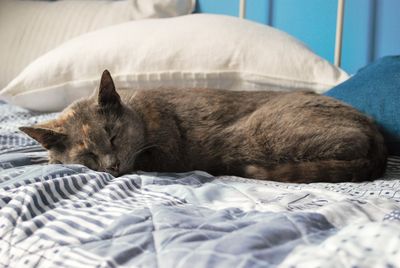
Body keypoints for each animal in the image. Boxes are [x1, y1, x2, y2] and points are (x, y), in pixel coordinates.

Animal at [19, 69, 388, 182]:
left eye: (112, 135)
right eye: (87, 155)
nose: (112, 166)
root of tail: (376, 131)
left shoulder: (166, 153)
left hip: (261, 131)